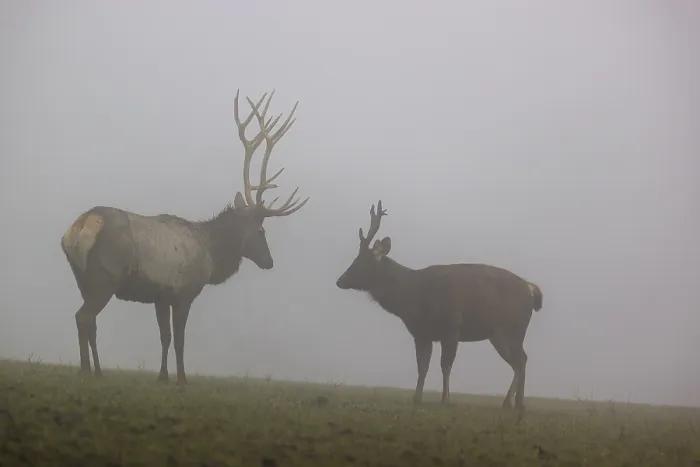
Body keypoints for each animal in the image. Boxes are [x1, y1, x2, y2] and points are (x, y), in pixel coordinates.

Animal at [60, 89, 308, 386]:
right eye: (261, 231)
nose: (269, 261)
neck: (212, 254)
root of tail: (78, 228)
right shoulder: (185, 292)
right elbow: (179, 339)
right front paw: (181, 378)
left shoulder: (160, 295)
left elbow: (164, 337)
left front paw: (163, 376)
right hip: (104, 276)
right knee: (83, 317)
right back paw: (86, 371)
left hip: (81, 278)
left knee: (90, 321)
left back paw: (97, 370)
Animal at [335, 201, 543, 415]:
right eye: (355, 258)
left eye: (361, 260)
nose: (340, 280)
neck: (413, 297)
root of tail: (530, 288)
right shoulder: (421, 333)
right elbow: (422, 365)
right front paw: (417, 397)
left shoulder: (451, 326)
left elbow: (445, 365)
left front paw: (446, 399)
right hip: (500, 334)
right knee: (520, 361)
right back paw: (515, 402)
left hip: (512, 329)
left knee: (521, 360)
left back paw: (511, 402)